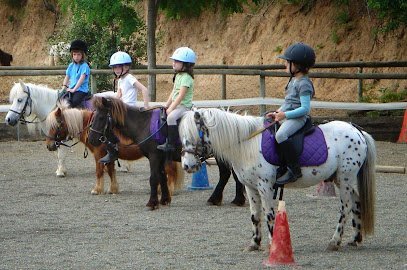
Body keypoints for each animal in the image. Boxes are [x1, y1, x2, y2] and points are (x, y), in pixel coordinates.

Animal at [45, 100, 184, 195]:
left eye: (56, 125)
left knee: (170, 171)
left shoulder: (99, 155)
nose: (49, 145)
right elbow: (111, 171)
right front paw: (113, 189)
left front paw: (97, 189)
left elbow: (99, 171)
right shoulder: (109, 155)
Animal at [86, 96, 245, 210]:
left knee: (226, 174)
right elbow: (162, 176)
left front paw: (152, 203)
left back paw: (220, 199)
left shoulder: (154, 157)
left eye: (101, 117)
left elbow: (153, 178)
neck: (144, 124)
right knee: (232, 174)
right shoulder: (159, 157)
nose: (92, 139)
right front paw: (164, 199)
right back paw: (234, 199)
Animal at [180, 108, 378, 252]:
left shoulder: (265, 186)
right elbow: (255, 215)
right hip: (341, 179)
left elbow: (269, 214)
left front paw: (273, 245)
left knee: (346, 208)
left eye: (193, 136)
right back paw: (355, 239)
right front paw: (254, 243)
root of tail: (357, 130)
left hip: (345, 178)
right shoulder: (250, 187)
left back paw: (335, 242)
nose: (187, 166)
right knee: (356, 202)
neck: (247, 143)